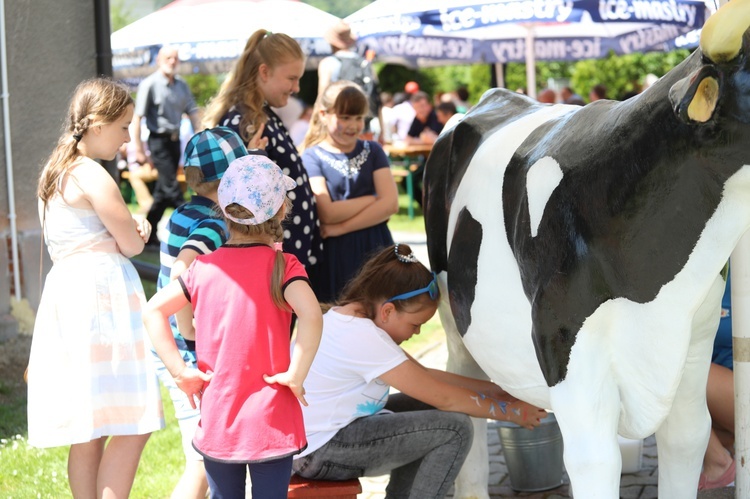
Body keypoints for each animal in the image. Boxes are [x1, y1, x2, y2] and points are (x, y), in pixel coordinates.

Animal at [428, 1, 750, 498]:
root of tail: (499, 96)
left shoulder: (696, 327)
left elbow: (688, 435)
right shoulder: (562, 337)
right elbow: (595, 459)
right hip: (453, 316)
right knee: (465, 395)